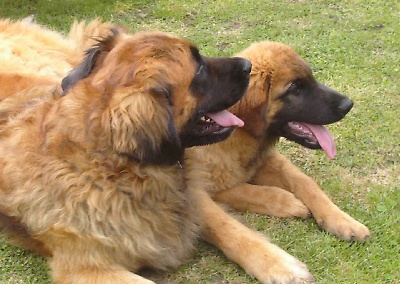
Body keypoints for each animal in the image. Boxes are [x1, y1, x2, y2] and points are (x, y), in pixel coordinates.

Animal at [184, 41, 372, 282]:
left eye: (311, 79)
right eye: (295, 88)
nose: (348, 104)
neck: (239, 134)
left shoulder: (265, 160)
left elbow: (304, 181)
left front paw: (341, 219)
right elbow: (236, 202)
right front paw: (287, 205)